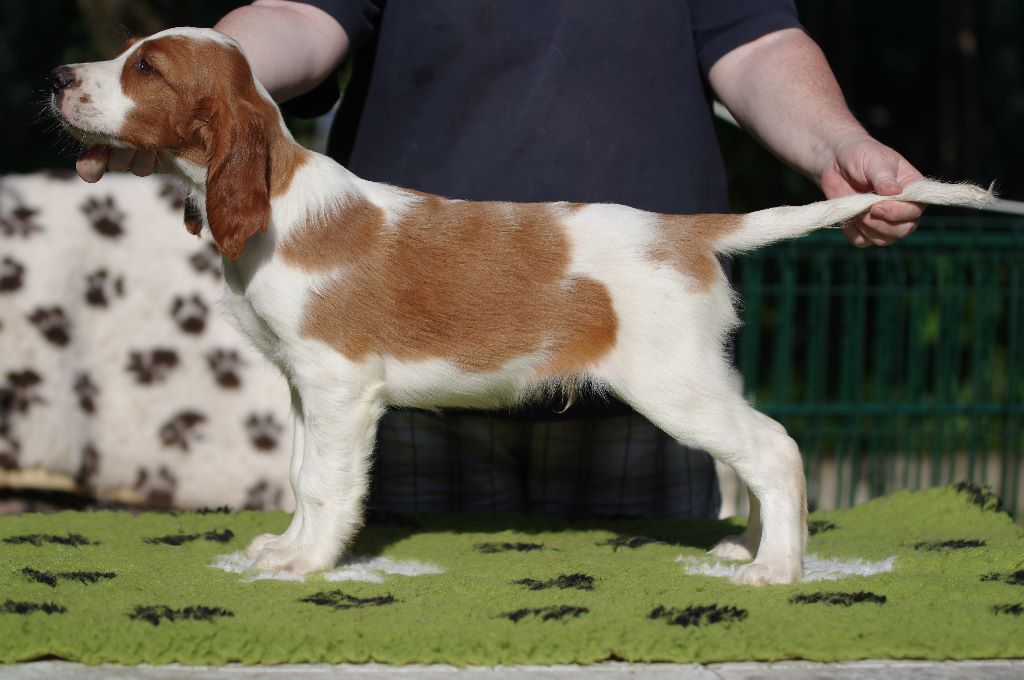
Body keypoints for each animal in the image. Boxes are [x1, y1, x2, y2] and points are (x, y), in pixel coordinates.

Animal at [49, 27, 991, 585]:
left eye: (147, 67)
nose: (58, 75)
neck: (278, 200)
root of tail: (687, 230)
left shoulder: (340, 385)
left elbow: (325, 480)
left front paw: (309, 563)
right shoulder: (302, 385)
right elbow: (297, 473)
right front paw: (286, 546)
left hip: (671, 384)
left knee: (775, 449)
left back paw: (775, 571)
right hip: (700, 373)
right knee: (761, 446)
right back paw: (747, 546)